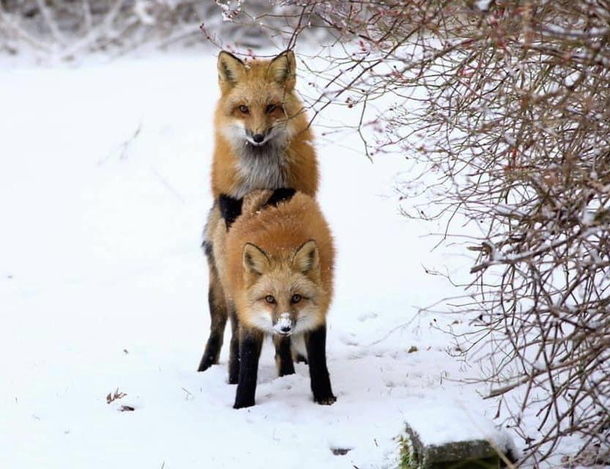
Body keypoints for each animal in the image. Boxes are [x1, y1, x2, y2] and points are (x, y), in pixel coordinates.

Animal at [197, 50, 320, 376]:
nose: (257, 136)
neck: (261, 177)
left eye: (271, 107)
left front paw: (286, 369)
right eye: (243, 109)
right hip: (219, 288)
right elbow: (241, 328)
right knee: (219, 328)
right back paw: (210, 367)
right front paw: (237, 371)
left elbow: (281, 335)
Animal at [209, 188, 332, 408]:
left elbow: (318, 361)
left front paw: (324, 396)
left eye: (296, 298)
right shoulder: (251, 319)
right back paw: (233, 377)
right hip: (234, 302)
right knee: (234, 341)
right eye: (269, 299)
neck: (281, 247)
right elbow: (248, 365)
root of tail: (263, 190)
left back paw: (287, 375)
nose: (285, 326)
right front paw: (242, 404)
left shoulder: (317, 316)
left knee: (281, 349)